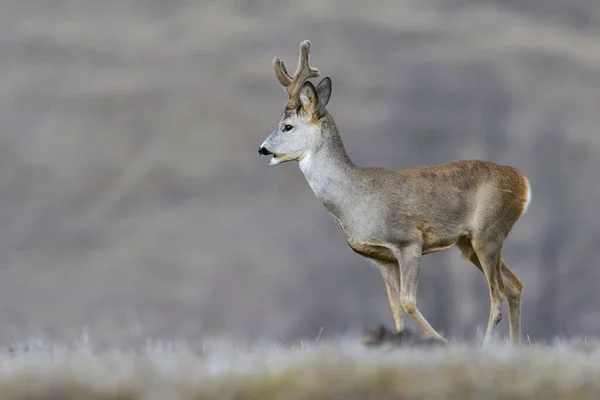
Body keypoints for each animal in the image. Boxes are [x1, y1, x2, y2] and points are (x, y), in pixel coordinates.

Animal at [258, 40, 528, 346]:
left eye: (287, 126)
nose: (262, 149)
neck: (354, 198)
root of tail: (522, 181)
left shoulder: (409, 242)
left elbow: (408, 302)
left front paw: (440, 341)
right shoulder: (381, 258)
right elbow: (395, 307)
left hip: (488, 231)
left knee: (497, 296)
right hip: (469, 242)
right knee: (514, 286)